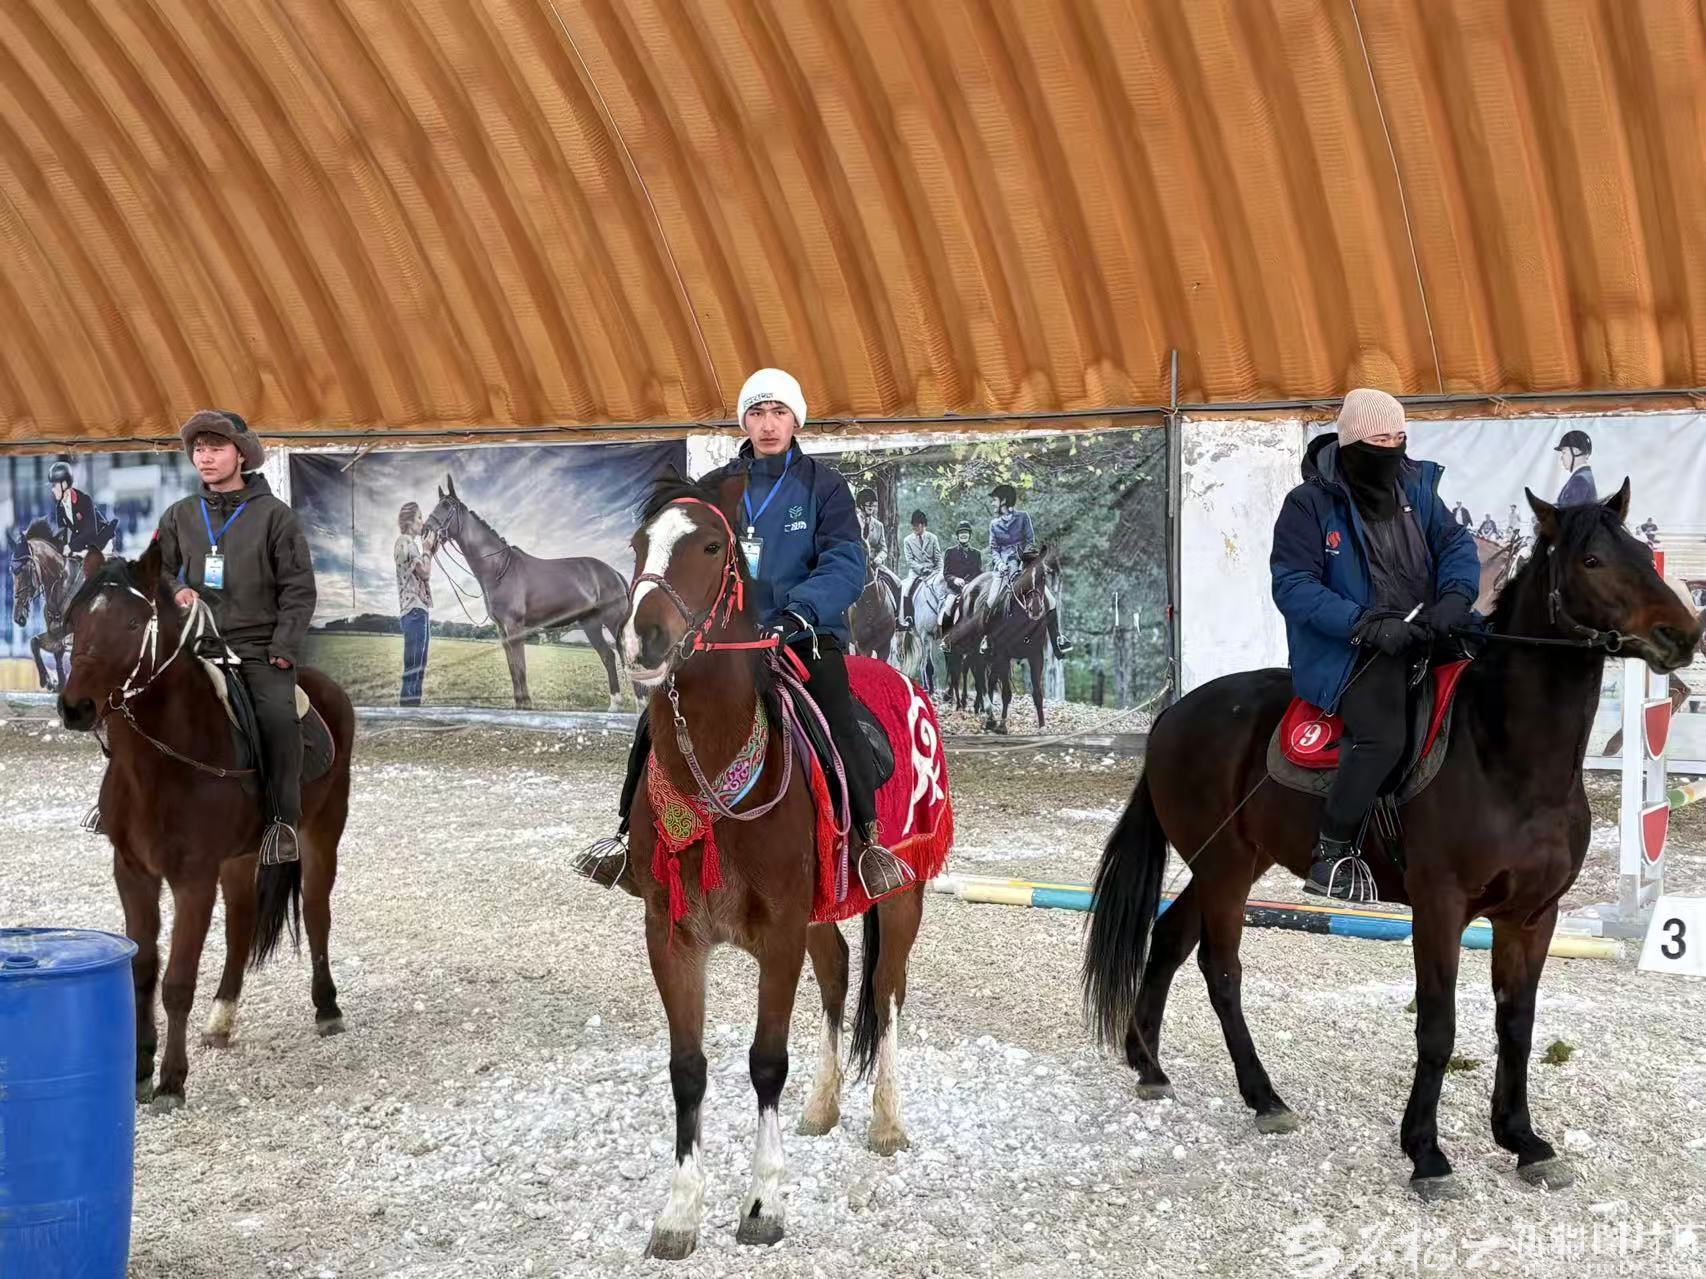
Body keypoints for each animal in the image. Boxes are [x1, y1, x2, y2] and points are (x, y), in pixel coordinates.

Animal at [8, 520, 80, 689]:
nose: (18, 617)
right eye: (11, 570)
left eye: (25, 569)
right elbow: (36, 642)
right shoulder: (54, 632)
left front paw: (52, 681)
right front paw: (50, 681)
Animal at [55, 542, 357, 1110]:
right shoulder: (133, 873)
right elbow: (142, 971)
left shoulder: (192, 879)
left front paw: (172, 1081)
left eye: (134, 623)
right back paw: (221, 1020)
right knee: (241, 924)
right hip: (240, 858)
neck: (158, 765)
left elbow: (176, 981)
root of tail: (323, 684)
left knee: (315, 914)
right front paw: (140, 1070)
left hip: (321, 832)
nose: (75, 707)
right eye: (76, 619)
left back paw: (327, 1008)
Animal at [422, 474, 630, 711]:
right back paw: (614, 705)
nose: (425, 530)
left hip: (613, 623)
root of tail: (613, 571)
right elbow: (513, 668)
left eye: (447, 505)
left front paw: (526, 704)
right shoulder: (502, 630)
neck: (500, 569)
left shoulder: (514, 626)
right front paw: (519, 704)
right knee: (608, 656)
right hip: (591, 624)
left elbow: (520, 667)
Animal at [617, 470, 939, 1259]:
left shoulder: (780, 933)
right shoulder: (671, 935)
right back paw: (823, 1106)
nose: (644, 636)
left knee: (886, 990)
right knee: (839, 976)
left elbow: (766, 1061)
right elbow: (687, 1068)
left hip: (902, 893)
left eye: (709, 544)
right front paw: (680, 1209)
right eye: (639, 543)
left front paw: (763, 1199)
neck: (712, 766)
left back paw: (886, 1120)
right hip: (823, 911)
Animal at [1081, 483, 1701, 1199]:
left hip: (1226, 863)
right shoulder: (1440, 908)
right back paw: (1264, 1097)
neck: (1507, 755)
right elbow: (1438, 1027)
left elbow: (1516, 1024)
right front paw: (1426, 1153)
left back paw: (1149, 1064)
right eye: (1593, 560)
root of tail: (1173, 715)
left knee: (1170, 939)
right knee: (1220, 969)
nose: (1683, 635)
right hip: (1226, 869)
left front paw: (1523, 1140)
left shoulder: (1531, 916)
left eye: (1643, 555)